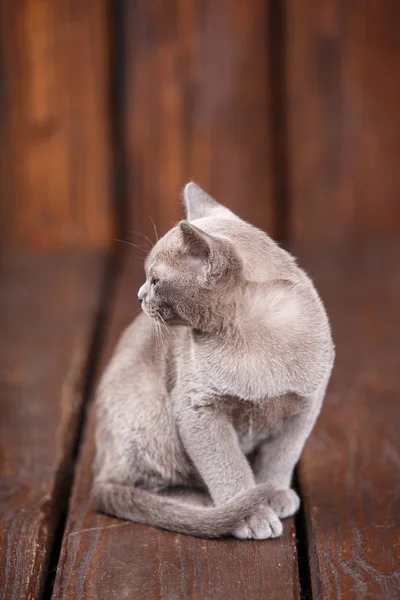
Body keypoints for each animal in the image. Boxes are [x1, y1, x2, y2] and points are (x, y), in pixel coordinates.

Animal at [91, 184, 334, 540]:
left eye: (155, 280)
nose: (139, 295)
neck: (254, 343)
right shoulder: (198, 410)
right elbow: (228, 467)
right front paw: (251, 514)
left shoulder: (305, 408)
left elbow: (279, 459)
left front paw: (274, 494)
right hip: (151, 413)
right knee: (142, 485)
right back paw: (207, 505)